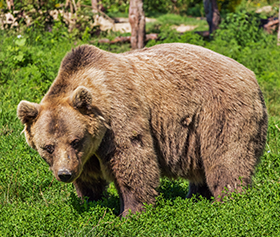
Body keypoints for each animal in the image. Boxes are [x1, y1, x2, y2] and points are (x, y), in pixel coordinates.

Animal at [17, 43, 266, 217]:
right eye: (48, 147)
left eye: (75, 140)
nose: (64, 174)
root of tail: (252, 75)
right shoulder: (87, 153)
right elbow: (89, 178)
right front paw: (91, 201)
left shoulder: (119, 116)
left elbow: (132, 160)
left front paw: (131, 212)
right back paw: (196, 196)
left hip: (220, 111)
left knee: (226, 157)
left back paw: (229, 199)